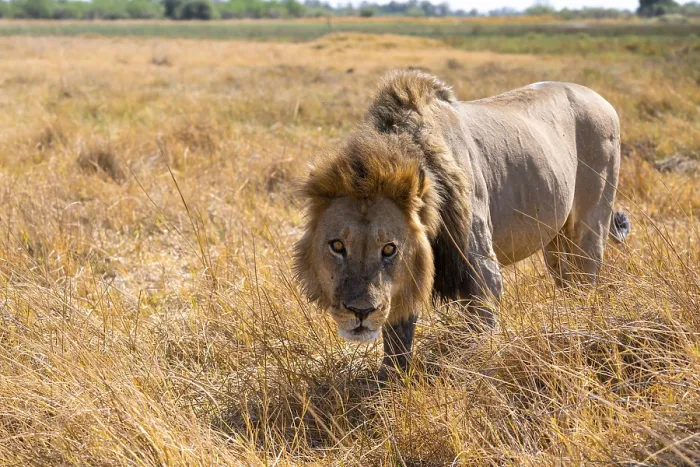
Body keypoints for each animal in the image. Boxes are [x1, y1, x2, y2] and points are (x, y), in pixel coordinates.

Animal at [294, 70, 630, 377]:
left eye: (389, 249)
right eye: (338, 246)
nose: (360, 312)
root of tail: (599, 98)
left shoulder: (482, 269)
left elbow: (482, 333)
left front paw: (481, 368)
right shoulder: (404, 283)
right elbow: (397, 340)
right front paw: (388, 385)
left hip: (590, 225)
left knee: (586, 277)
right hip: (556, 242)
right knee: (567, 280)